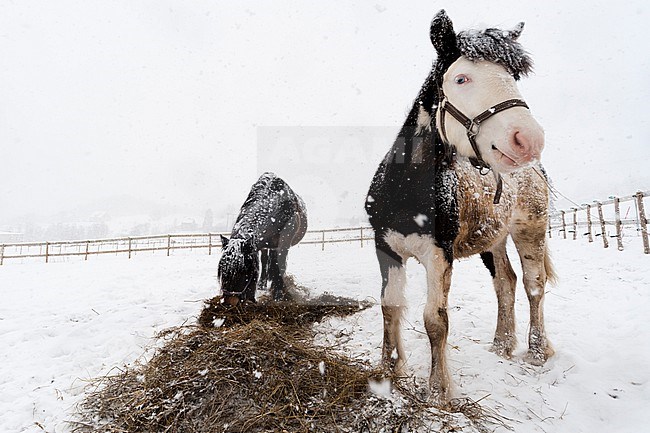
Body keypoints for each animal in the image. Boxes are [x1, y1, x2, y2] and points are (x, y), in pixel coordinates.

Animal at [218, 172, 306, 304]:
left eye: (243, 272)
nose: (229, 302)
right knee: (266, 261)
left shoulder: (283, 245)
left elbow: (280, 266)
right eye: (222, 270)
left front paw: (278, 294)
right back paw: (263, 283)